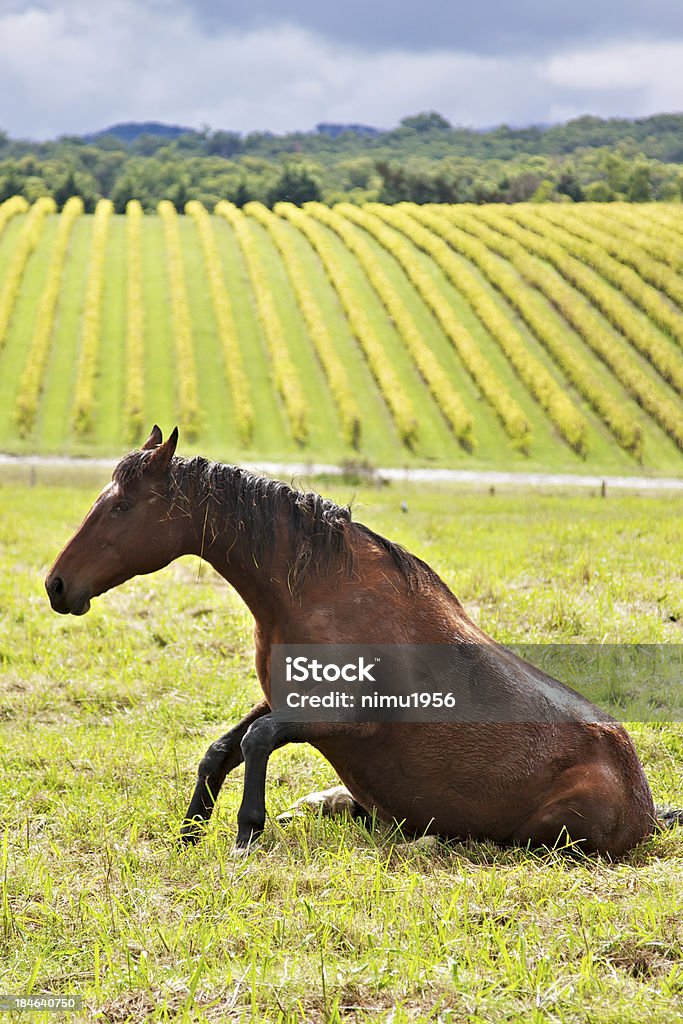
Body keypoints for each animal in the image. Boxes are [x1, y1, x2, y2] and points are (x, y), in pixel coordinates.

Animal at [46, 423, 667, 856]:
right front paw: (190, 831)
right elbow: (221, 749)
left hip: (551, 833)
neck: (317, 595)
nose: (56, 585)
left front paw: (245, 836)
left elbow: (258, 742)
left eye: (123, 505)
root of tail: (646, 809)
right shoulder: (283, 696)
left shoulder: (347, 717)